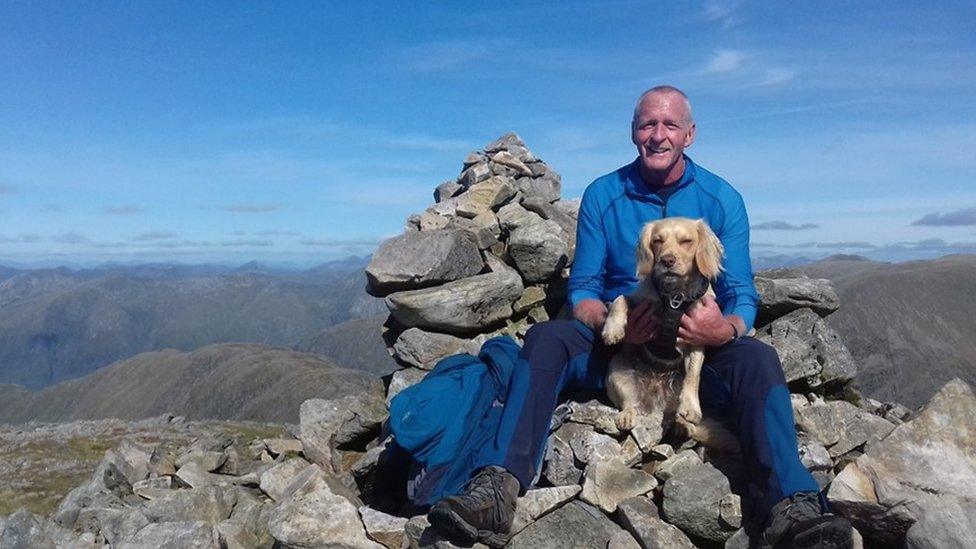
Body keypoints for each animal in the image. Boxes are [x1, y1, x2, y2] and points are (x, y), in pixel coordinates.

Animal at [600, 215, 736, 450]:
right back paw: (627, 415)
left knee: (675, 416)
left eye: (686, 241)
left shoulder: (697, 337)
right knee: (630, 402)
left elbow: (693, 377)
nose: (667, 261)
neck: (675, 296)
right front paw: (613, 329)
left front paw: (690, 408)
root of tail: (656, 405)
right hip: (616, 371)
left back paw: (684, 425)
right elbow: (619, 299)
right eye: (657, 241)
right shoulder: (640, 300)